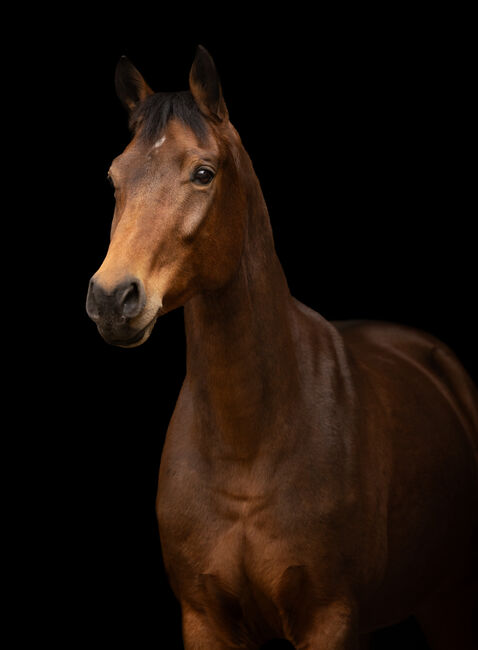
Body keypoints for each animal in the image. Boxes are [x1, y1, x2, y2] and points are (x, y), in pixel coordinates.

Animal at [87, 46, 478, 648]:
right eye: (114, 178)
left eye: (203, 173)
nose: (112, 297)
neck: (247, 447)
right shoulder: (204, 619)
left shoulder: (329, 616)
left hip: (451, 600)